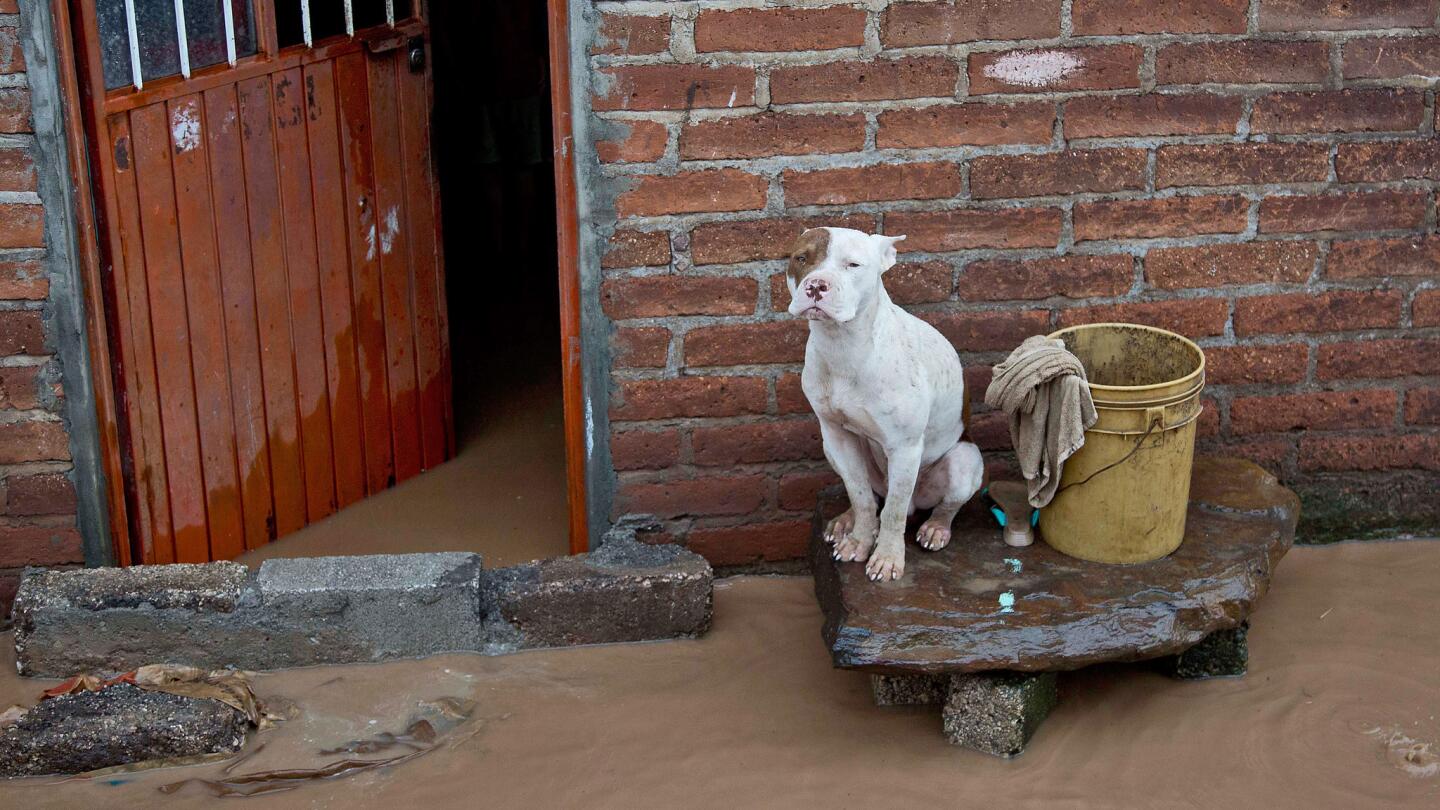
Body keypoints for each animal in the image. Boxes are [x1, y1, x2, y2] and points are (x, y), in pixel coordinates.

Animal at [783, 227, 984, 579]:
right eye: (802, 258)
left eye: (853, 264)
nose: (816, 285)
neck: (843, 344)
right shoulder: (837, 436)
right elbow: (860, 494)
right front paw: (859, 540)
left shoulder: (905, 448)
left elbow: (893, 512)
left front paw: (888, 558)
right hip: (831, 448)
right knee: (870, 495)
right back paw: (846, 521)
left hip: (964, 460)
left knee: (944, 504)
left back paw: (936, 528)